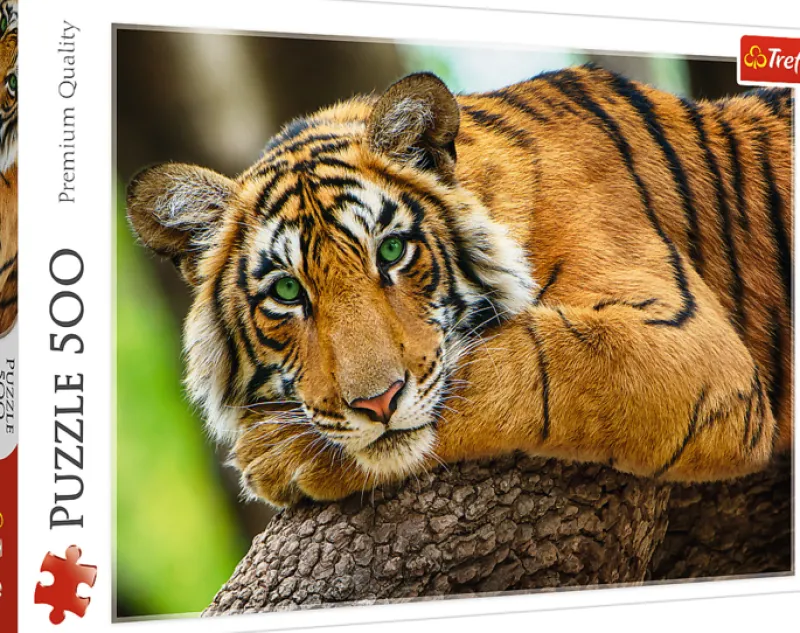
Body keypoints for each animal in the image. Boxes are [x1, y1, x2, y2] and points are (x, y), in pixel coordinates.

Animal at [127, 63, 793, 508]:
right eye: (288, 293)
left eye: (392, 251)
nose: (377, 403)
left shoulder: (688, 345)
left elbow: (520, 362)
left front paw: (277, 453)